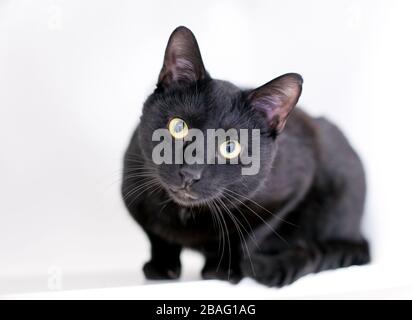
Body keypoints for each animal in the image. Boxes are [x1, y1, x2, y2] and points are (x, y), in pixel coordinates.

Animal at [122, 26, 370, 288]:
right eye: (178, 127)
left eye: (230, 147)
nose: (190, 173)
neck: (186, 214)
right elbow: (157, 236)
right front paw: (161, 265)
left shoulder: (289, 191)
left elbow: (248, 236)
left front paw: (223, 270)